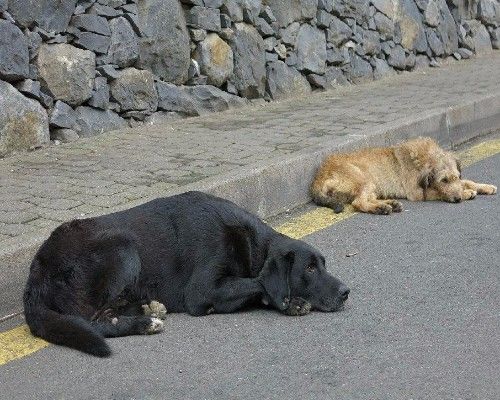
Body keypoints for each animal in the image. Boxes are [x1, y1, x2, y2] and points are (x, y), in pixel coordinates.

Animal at [23, 191, 350, 356]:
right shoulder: (202, 291)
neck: (251, 244)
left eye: (324, 264)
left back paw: (148, 307)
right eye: (309, 268)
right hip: (123, 248)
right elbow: (257, 283)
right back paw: (145, 322)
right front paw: (289, 301)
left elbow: (255, 286)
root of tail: (36, 269)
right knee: (95, 321)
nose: (346, 292)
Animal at [312, 138, 496, 214]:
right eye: (443, 180)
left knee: (366, 199)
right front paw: (466, 193)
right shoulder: (417, 193)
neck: (424, 158)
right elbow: (438, 192)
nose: (457, 199)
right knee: (358, 202)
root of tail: (319, 175)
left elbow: (467, 181)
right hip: (364, 179)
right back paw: (381, 208)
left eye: (455, 177)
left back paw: (390, 204)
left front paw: (485, 187)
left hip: (371, 185)